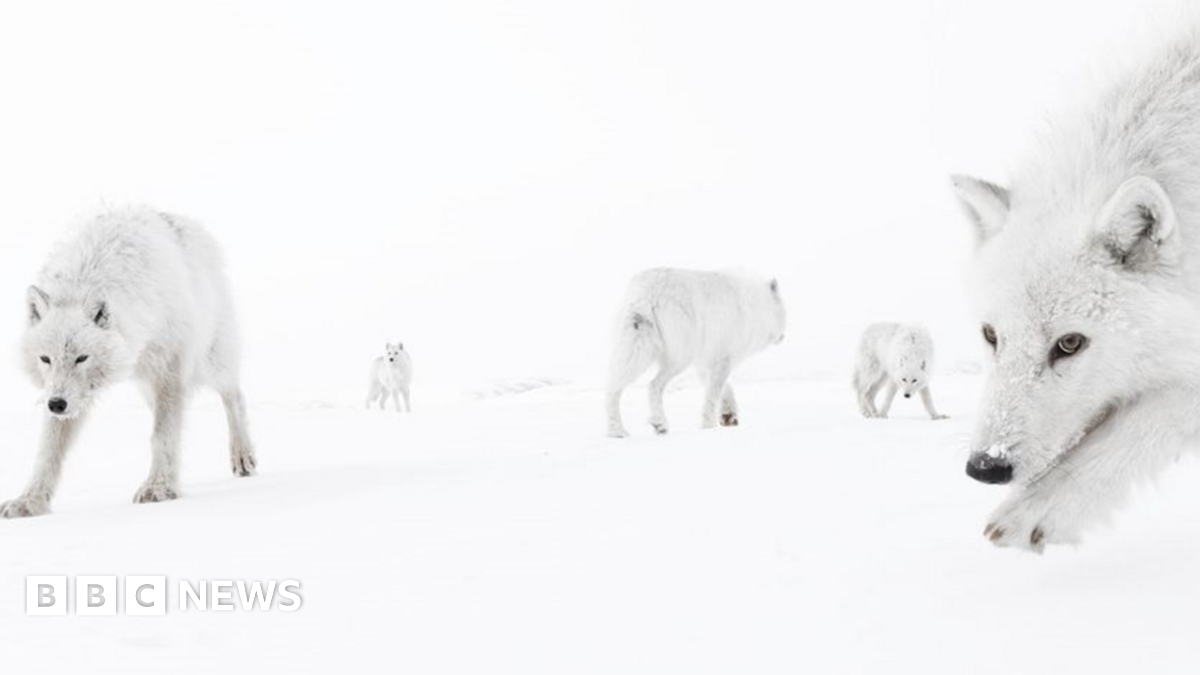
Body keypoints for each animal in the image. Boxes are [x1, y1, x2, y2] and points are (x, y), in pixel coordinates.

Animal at [2, 207, 256, 518]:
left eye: (81, 358)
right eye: (45, 359)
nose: (56, 405)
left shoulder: (169, 371)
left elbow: (162, 435)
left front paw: (159, 487)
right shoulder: (65, 394)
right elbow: (48, 451)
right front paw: (30, 501)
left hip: (208, 362)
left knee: (234, 395)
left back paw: (242, 455)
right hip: (147, 387)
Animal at [606, 268, 786, 438]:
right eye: (784, 313)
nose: (784, 337)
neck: (755, 304)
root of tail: (651, 290)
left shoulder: (705, 364)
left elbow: (725, 388)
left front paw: (728, 415)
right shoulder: (723, 361)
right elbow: (712, 396)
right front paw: (709, 428)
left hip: (635, 353)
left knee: (613, 389)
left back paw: (617, 432)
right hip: (679, 359)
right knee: (653, 385)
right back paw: (660, 424)